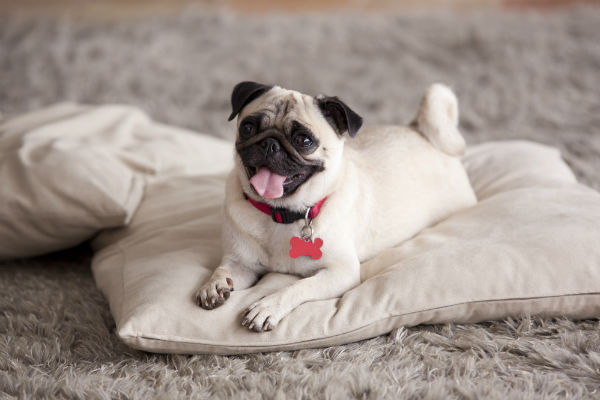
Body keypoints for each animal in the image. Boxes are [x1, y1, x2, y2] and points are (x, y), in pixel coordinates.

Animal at [197, 81, 478, 332]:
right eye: (248, 127)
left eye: (303, 140)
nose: (269, 143)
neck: (280, 213)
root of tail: (418, 130)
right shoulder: (240, 264)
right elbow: (222, 269)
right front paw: (214, 285)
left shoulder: (341, 272)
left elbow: (297, 286)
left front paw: (268, 306)